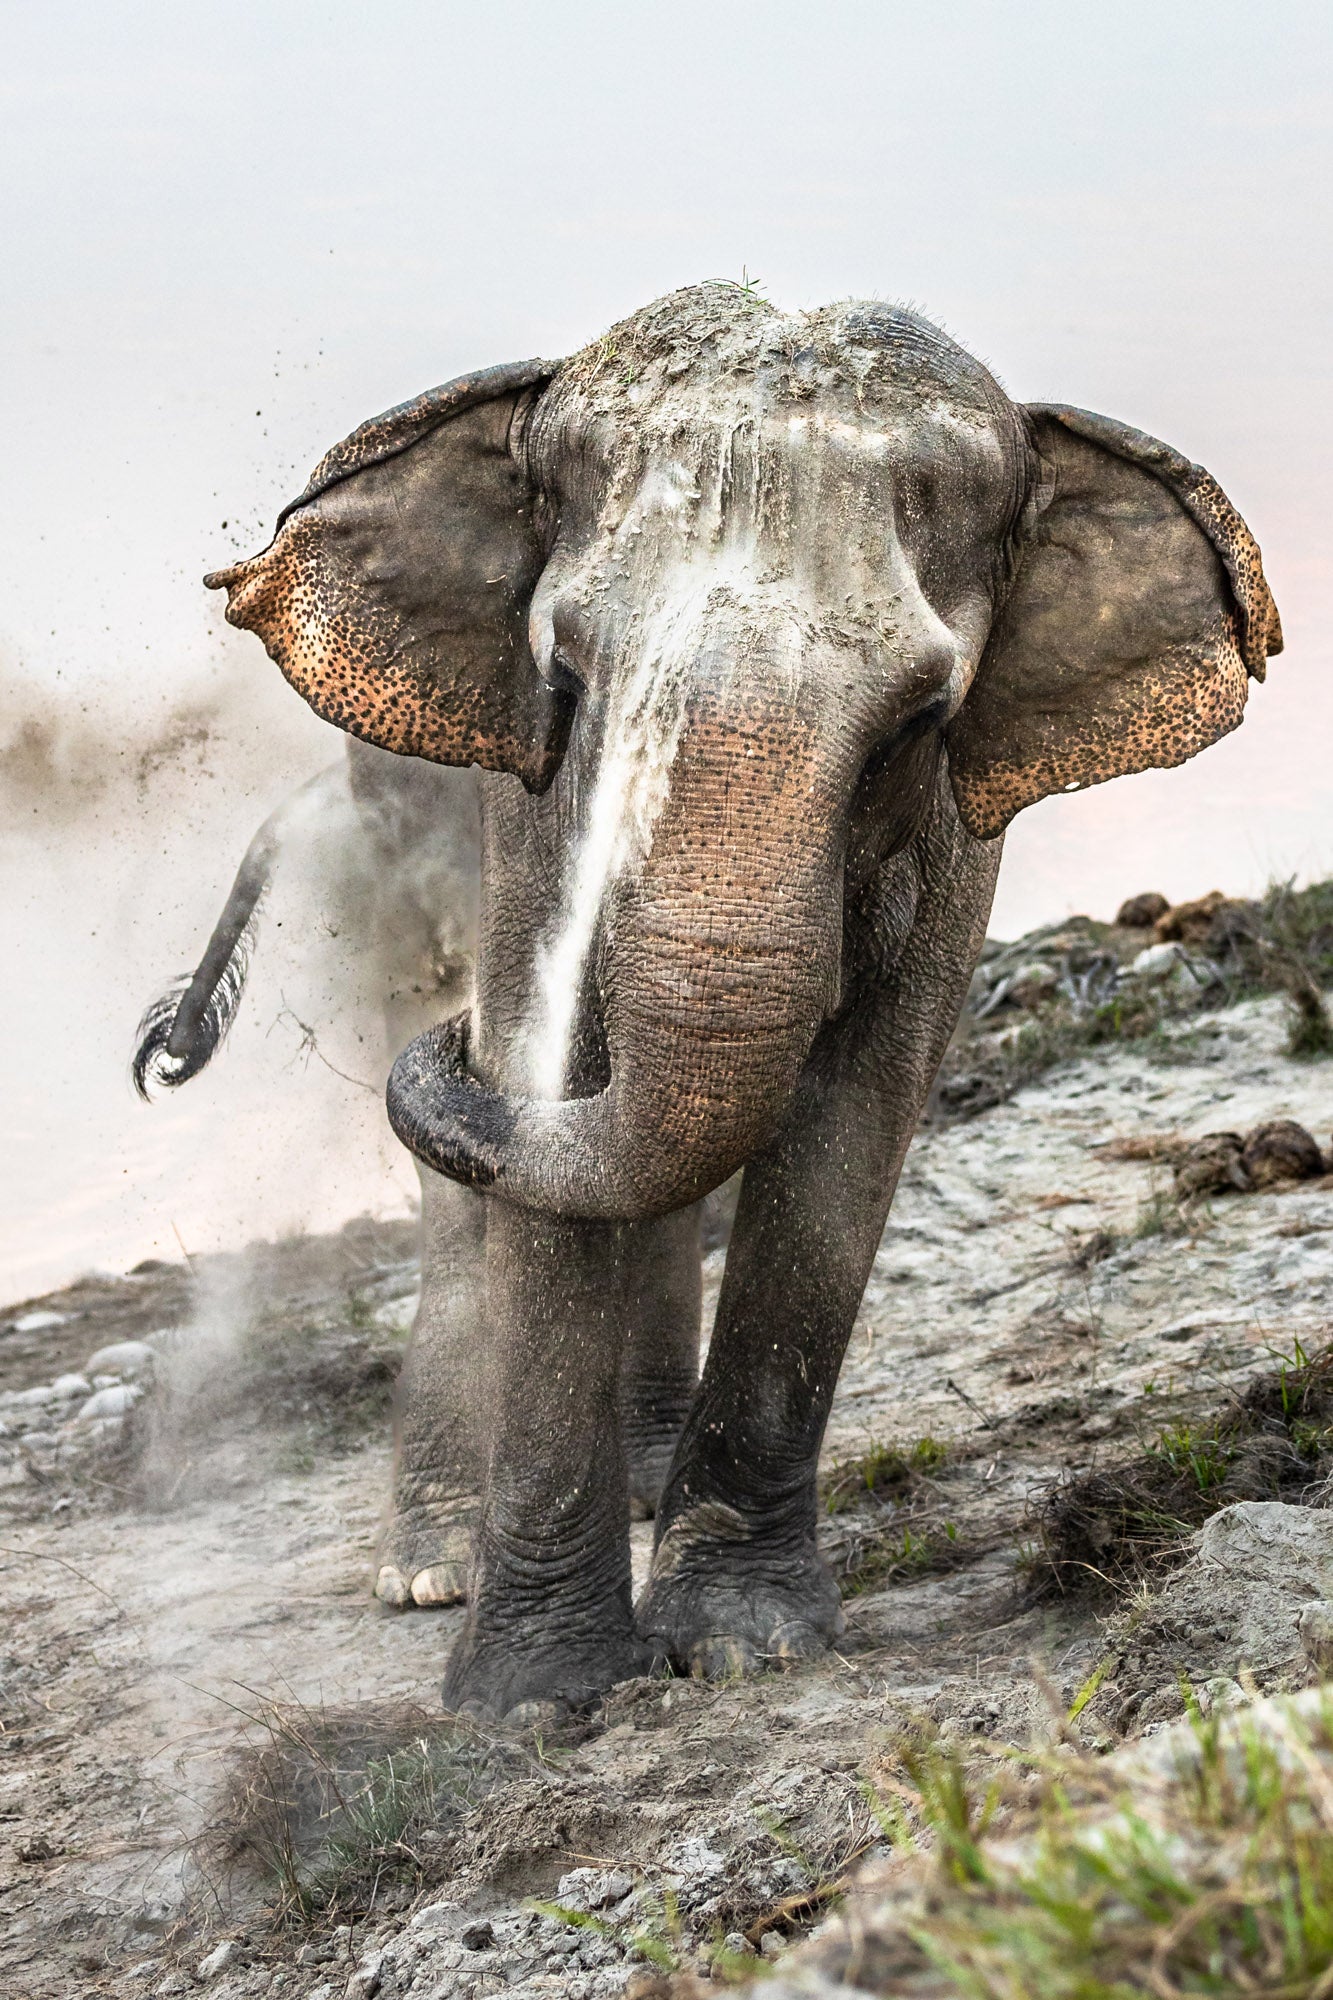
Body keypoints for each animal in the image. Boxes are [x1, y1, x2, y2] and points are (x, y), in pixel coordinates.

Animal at [189, 282, 1280, 1720]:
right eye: (567, 681)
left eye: (914, 721)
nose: (445, 1035)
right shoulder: (525, 811)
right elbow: (546, 1072)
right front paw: (532, 1704)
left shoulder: (959, 829)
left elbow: (858, 1111)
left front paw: (739, 1648)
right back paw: (431, 1565)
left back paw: (643, 1493)